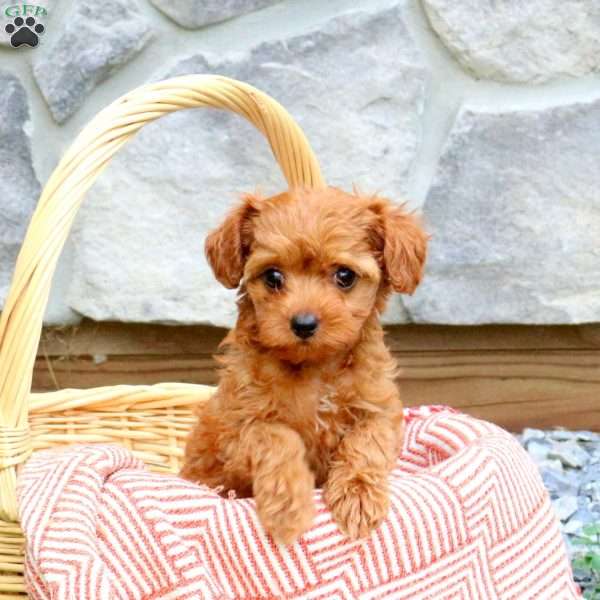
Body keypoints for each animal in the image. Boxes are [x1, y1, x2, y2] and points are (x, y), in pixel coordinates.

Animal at [180, 186, 428, 544]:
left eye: (344, 275)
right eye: (273, 276)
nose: (303, 323)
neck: (315, 367)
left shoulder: (379, 409)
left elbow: (367, 442)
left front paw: (359, 498)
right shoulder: (237, 432)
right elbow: (278, 436)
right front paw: (288, 507)